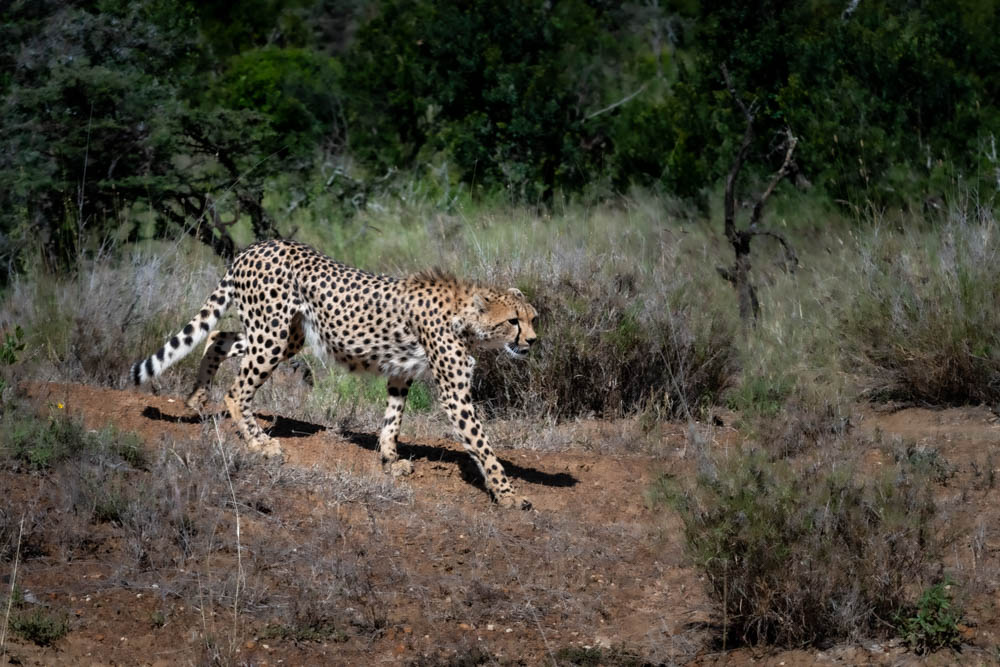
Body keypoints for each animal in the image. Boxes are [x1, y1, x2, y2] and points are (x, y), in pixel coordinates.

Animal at [130, 239, 537, 509]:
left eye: (533, 318)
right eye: (513, 321)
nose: (533, 340)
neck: (466, 318)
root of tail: (257, 245)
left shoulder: (401, 372)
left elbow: (393, 419)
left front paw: (389, 460)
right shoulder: (454, 394)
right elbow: (482, 445)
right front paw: (508, 494)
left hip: (285, 336)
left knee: (218, 337)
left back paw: (197, 396)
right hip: (272, 336)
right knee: (236, 390)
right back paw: (258, 443)